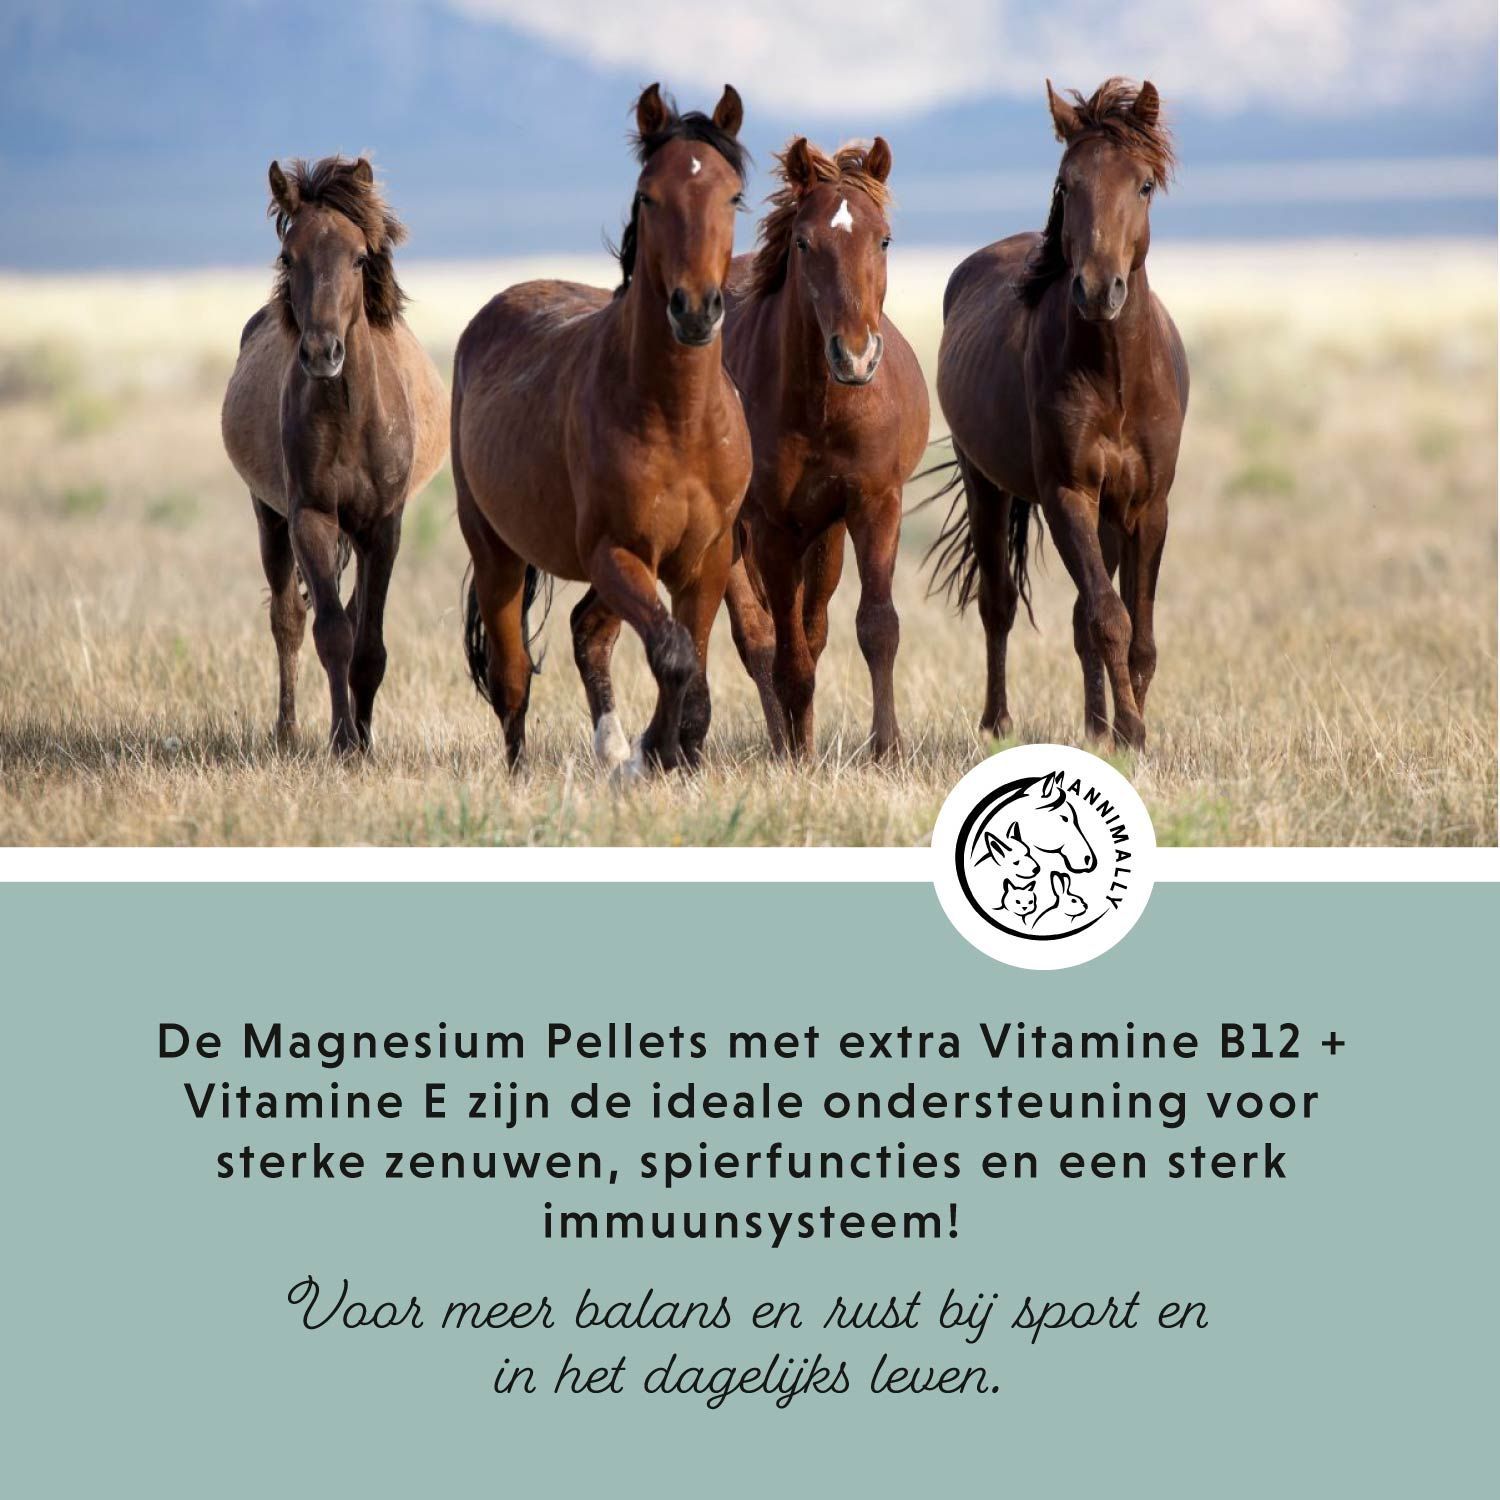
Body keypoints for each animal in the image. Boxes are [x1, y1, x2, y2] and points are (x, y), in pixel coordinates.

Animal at [221, 156, 447, 754]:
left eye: (360, 257)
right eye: (287, 256)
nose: (323, 352)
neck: (349, 416)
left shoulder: (382, 528)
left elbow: (368, 642)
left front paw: (362, 739)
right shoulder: (312, 518)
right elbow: (331, 634)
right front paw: (344, 741)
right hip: (269, 517)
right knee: (288, 619)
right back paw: (288, 731)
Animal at [452, 83, 753, 772]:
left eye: (732, 195)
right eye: (649, 195)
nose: (695, 311)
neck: (678, 420)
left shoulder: (707, 557)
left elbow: (691, 664)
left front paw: (671, 753)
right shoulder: (617, 551)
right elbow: (674, 654)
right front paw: (655, 752)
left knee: (589, 633)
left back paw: (613, 752)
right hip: (496, 554)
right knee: (513, 677)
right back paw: (529, 771)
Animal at [721, 137, 929, 759]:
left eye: (883, 238)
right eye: (803, 242)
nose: (855, 356)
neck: (822, 408)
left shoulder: (874, 505)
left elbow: (877, 627)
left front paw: (887, 749)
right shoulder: (770, 529)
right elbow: (785, 656)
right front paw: (796, 759)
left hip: (825, 535)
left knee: (811, 631)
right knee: (761, 638)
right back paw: (785, 745)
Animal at [929, 79, 1188, 750]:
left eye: (1143, 184)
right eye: (1066, 183)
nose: (1098, 290)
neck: (1116, 377)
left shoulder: (1146, 506)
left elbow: (1138, 634)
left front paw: (1126, 728)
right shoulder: (1067, 494)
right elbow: (1109, 618)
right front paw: (1131, 732)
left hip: (1107, 514)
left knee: (1076, 617)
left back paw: (1094, 727)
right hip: (985, 484)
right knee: (998, 604)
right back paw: (998, 723)